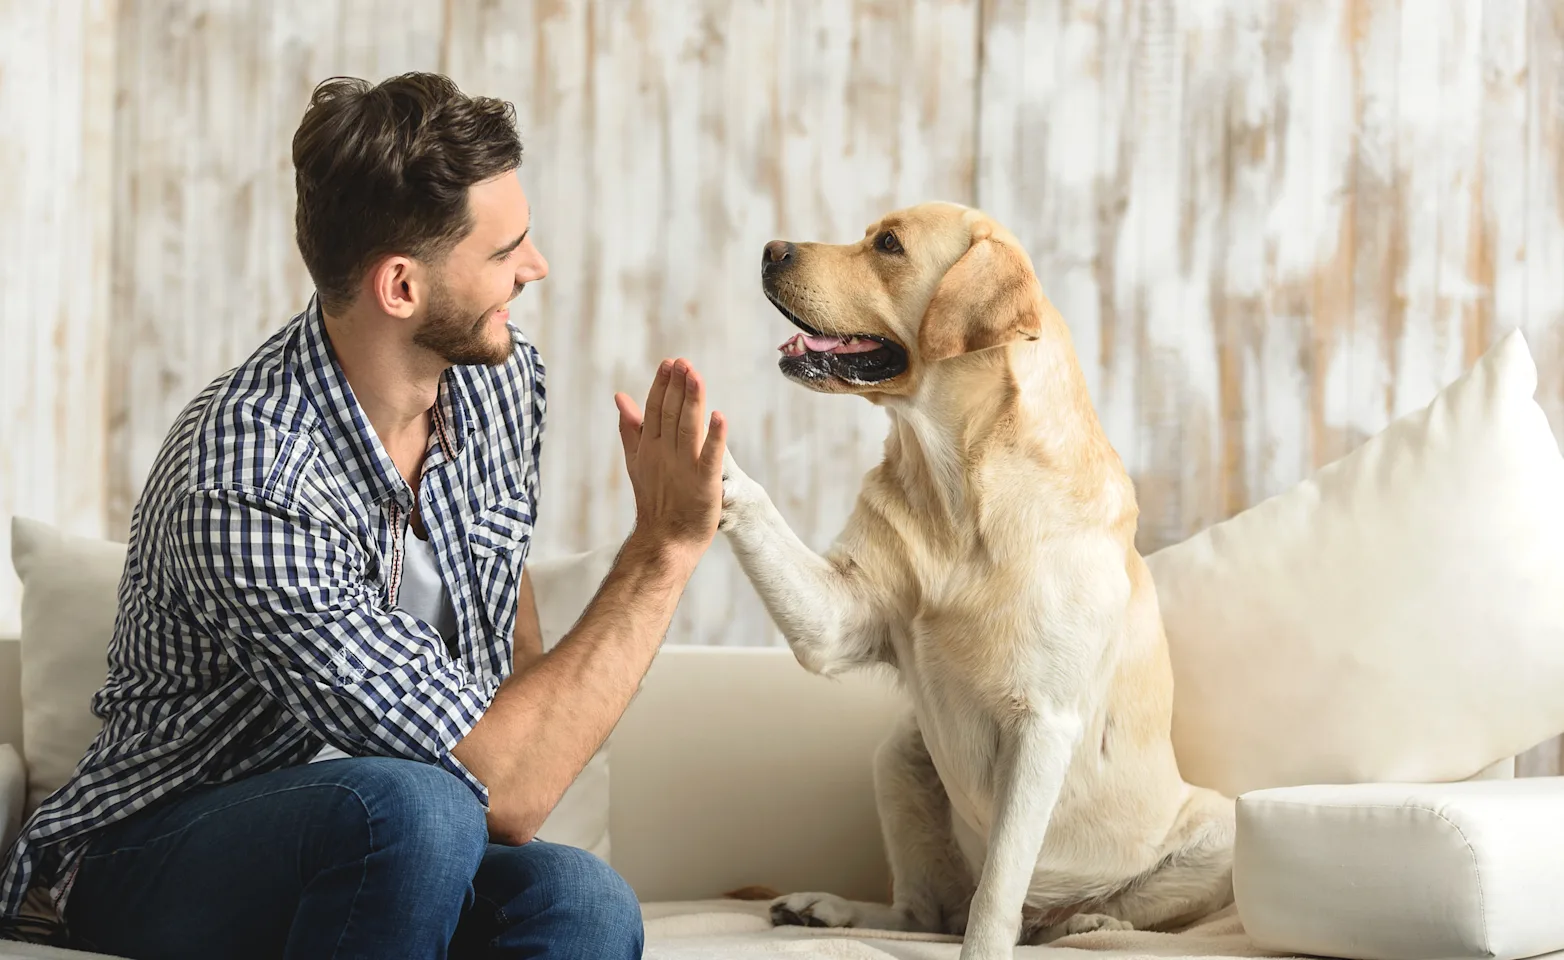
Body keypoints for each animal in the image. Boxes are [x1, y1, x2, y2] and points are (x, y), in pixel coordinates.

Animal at [716, 199, 1232, 956]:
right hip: (900, 755)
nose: (770, 249)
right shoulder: (837, 620)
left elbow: (996, 894)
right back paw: (825, 908)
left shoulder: (1042, 725)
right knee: (922, 913)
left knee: (1067, 914)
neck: (958, 486)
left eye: (889, 245)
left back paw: (1088, 920)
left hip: (1220, 828)